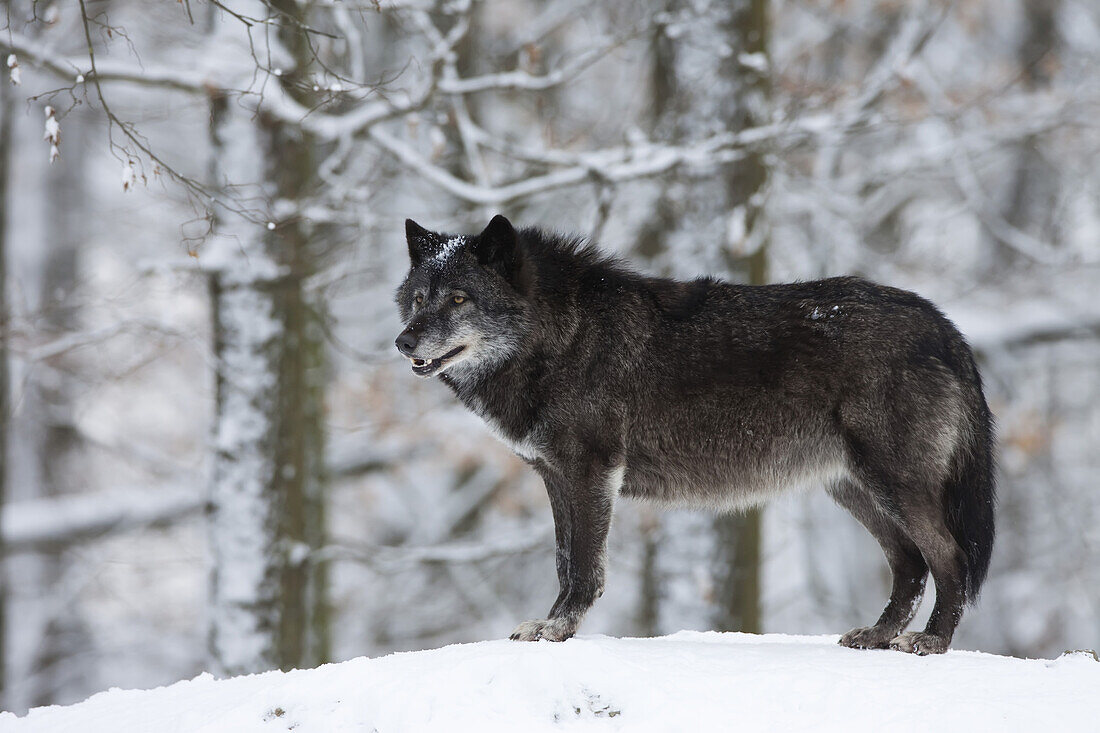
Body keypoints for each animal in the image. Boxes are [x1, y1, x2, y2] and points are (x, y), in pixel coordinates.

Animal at [396, 212, 998, 651]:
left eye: (459, 299)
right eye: (419, 299)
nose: (403, 342)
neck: (560, 337)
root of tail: (942, 325)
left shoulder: (590, 472)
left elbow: (584, 567)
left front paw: (558, 630)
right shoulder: (555, 476)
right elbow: (566, 560)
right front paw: (550, 626)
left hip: (893, 486)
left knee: (948, 557)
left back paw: (931, 642)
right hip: (854, 489)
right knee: (910, 564)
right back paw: (877, 636)